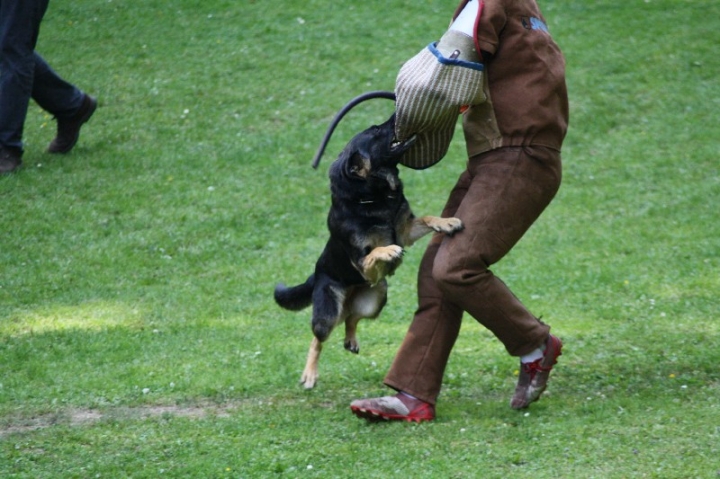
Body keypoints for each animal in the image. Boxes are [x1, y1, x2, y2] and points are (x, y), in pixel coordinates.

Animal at [272, 110, 464, 388]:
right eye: (375, 131)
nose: (395, 112)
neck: (374, 198)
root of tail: (316, 274)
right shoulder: (364, 265)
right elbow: (374, 251)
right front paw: (388, 251)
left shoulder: (405, 231)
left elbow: (427, 218)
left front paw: (447, 222)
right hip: (329, 312)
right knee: (318, 337)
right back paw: (309, 374)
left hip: (376, 297)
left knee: (351, 318)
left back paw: (350, 339)